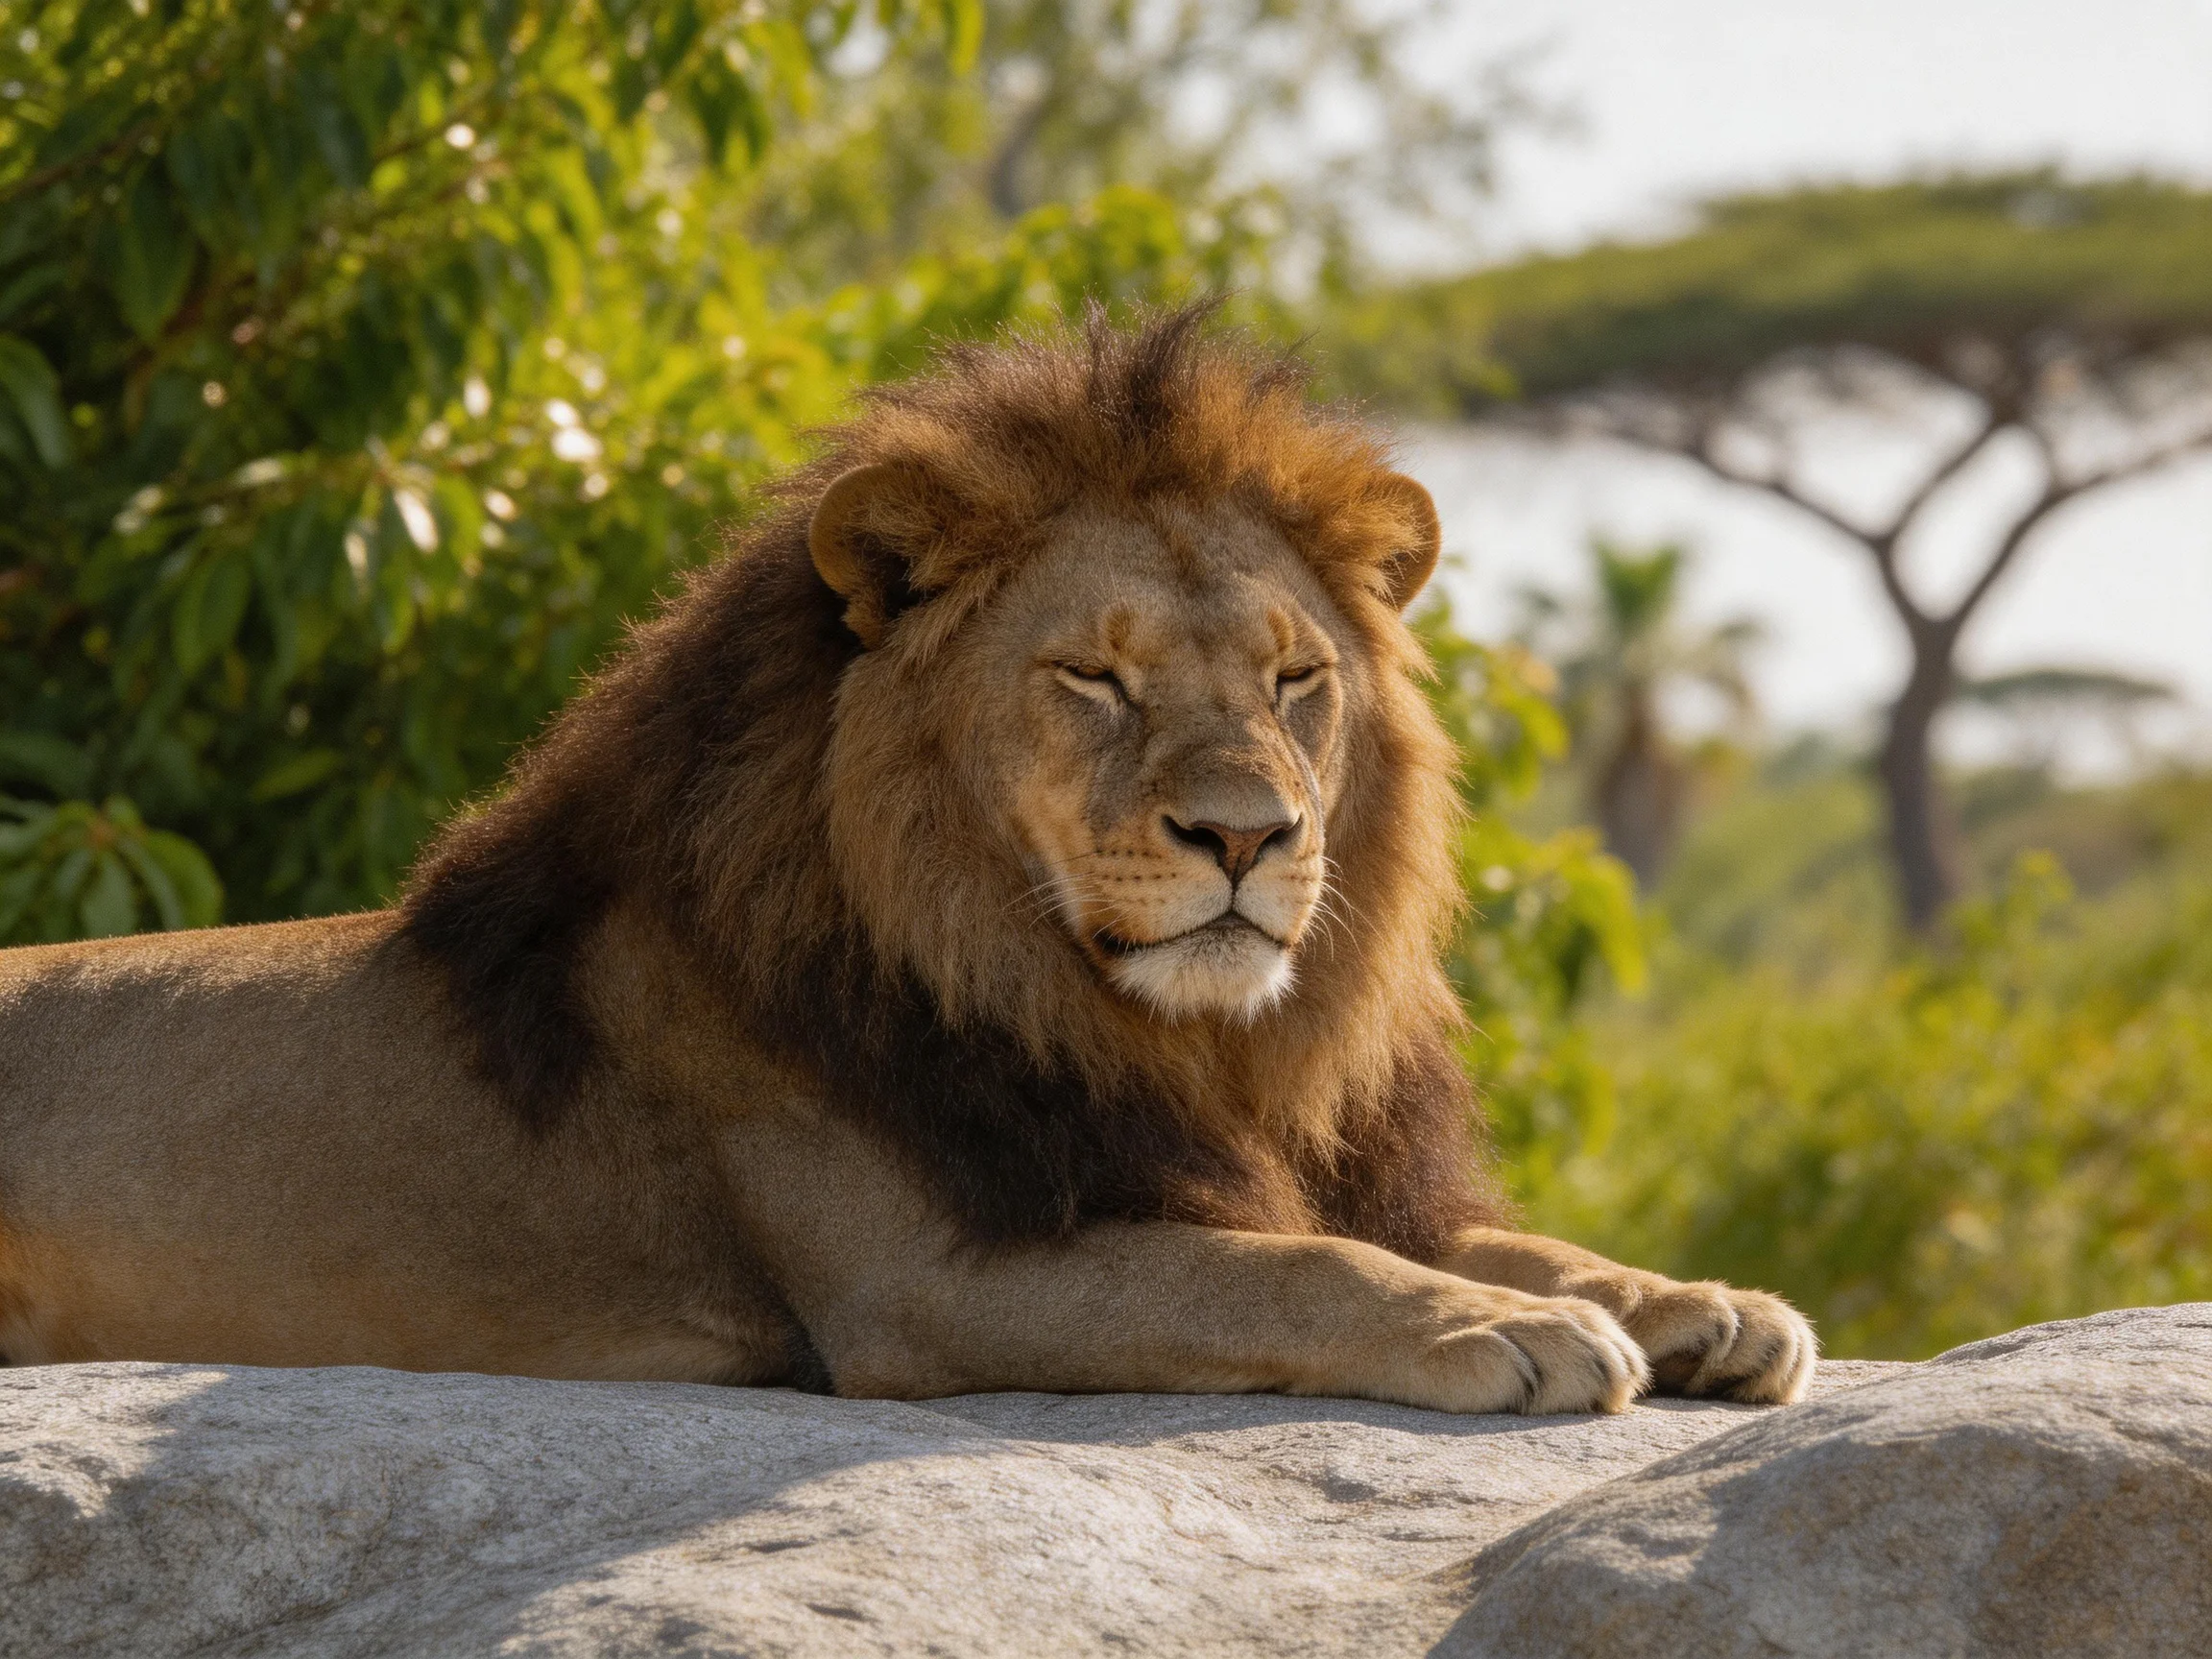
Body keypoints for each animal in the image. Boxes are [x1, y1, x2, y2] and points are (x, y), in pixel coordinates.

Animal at [0, 309, 1814, 1413]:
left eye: (1297, 679)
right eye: (1093, 678)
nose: (1247, 833)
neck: (1153, 1030)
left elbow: (1465, 1230)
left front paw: (1688, 1298)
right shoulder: (922, 1286)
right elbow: (1288, 1270)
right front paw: (1503, 1330)